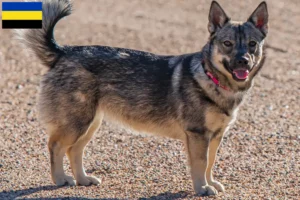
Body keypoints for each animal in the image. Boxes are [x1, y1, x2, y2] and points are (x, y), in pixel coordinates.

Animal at [16, 0, 268, 196]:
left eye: (252, 44)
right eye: (227, 44)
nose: (243, 61)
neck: (212, 79)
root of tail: (63, 51)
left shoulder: (215, 136)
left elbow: (211, 163)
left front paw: (211, 182)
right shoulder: (198, 135)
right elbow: (201, 163)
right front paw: (202, 188)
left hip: (89, 124)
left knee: (73, 151)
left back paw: (83, 179)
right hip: (76, 124)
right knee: (56, 146)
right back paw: (60, 179)